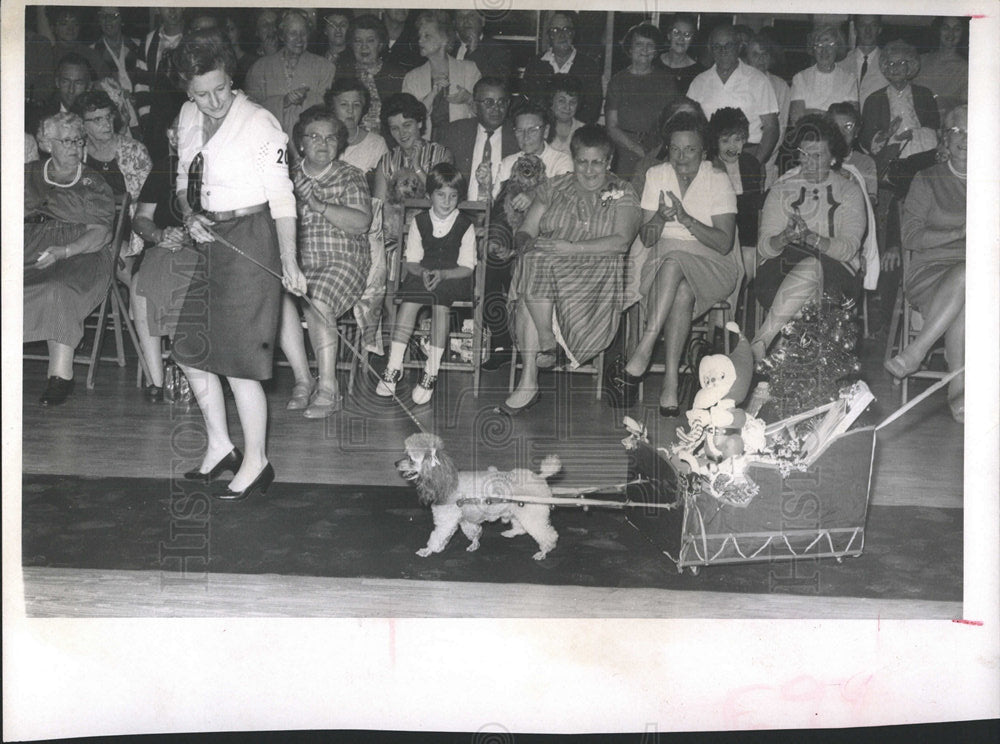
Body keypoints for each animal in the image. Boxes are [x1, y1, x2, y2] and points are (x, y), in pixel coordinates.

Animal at [402, 430, 568, 560]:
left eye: (410, 459)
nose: (397, 463)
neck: (445, 481)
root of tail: (540, 477)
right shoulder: (465, 519)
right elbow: (474, 532)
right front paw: (474, 544)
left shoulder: (446, 520)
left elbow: (437, 537)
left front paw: (427, 550)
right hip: (518, 511)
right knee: (521, 528)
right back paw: (510, 533)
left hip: (532, 513)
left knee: (547, 535)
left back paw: (544, 551)